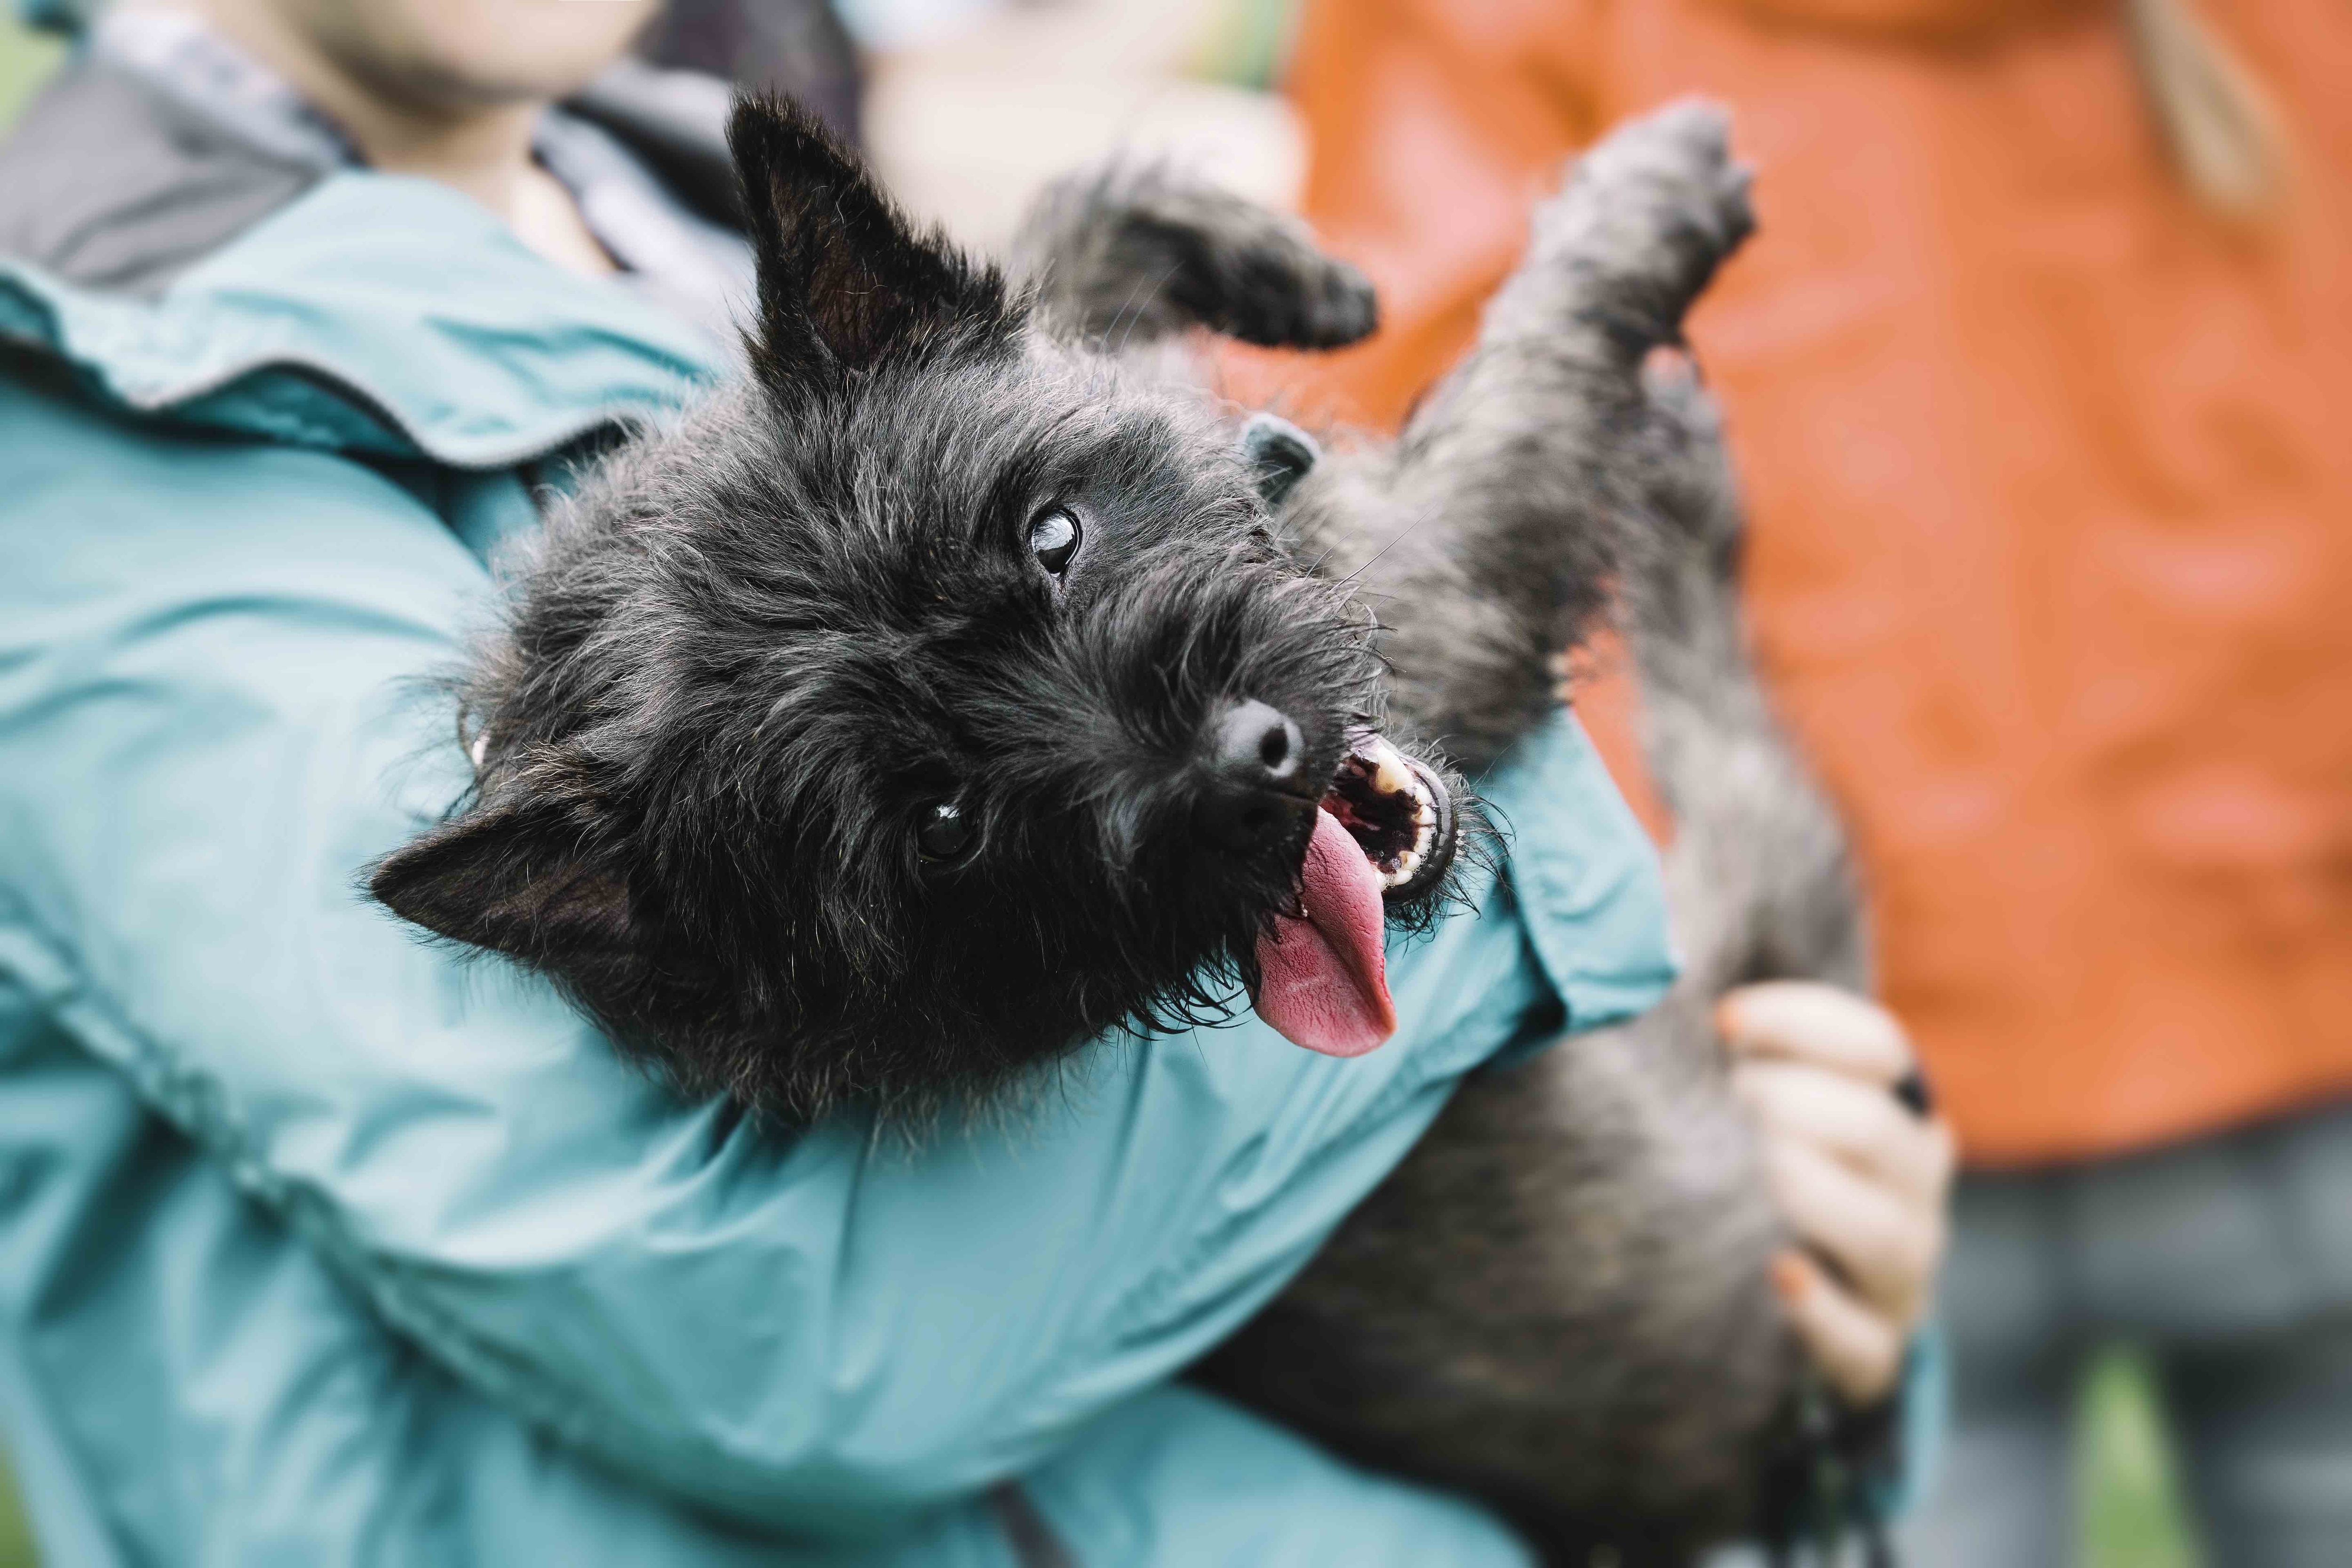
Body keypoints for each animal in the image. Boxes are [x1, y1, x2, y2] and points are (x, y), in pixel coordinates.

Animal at [372, 98, 1872, 1568]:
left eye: (1052, 532)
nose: (1251, 767)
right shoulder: (1447, 578)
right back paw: (1688, 489)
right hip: (1761, 915)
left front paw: (1267, 264)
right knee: (1737, 742)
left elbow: (1064, 237)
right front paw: (1649, 195)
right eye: (941, 821)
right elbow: (1530, 382)